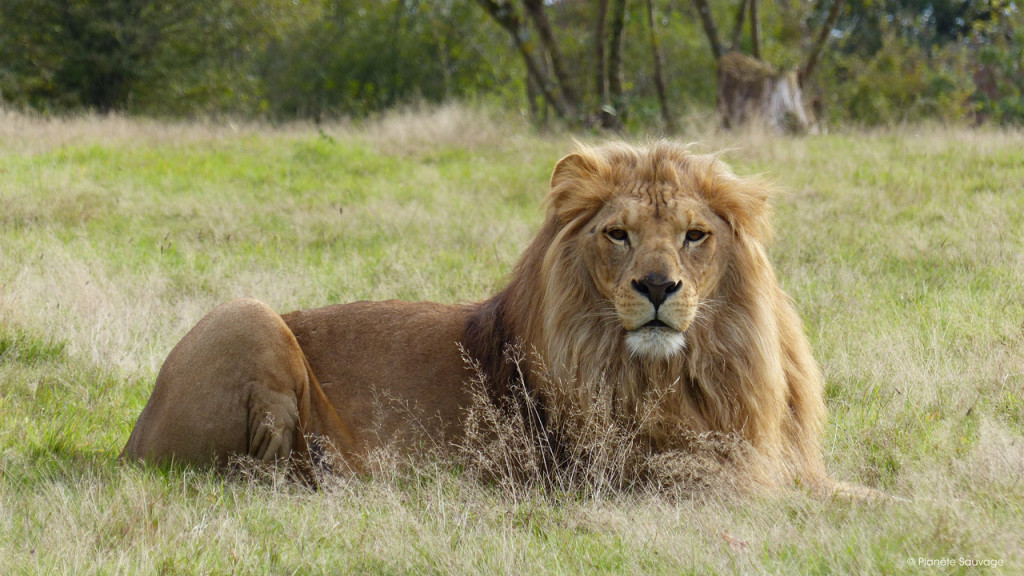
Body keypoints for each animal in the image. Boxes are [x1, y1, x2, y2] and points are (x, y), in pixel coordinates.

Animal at [119, 141, 827, 491]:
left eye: (695, 235)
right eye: (619, 234)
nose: (657, 286)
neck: (684, 373)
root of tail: (128, 445)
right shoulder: (653, 477)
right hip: (244, 315)